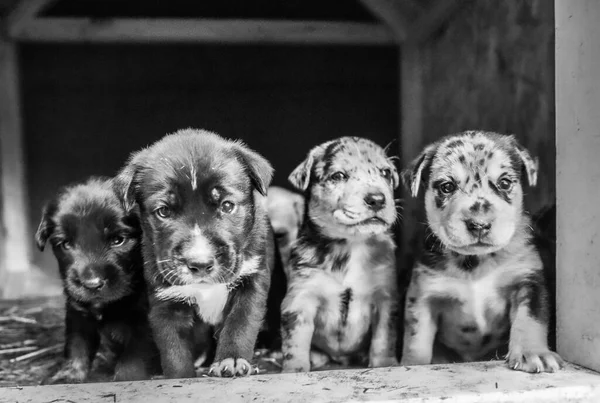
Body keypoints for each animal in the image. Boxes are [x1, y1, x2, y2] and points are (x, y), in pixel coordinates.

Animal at [35, 178, 159, 386]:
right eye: (66, 244)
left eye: (118, 240)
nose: (92, 284)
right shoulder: (78, 314)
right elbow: (76, 347)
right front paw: (69, 376)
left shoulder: (145, 320)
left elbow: (133, 358)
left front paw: (125, 379)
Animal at [114, 129, 276, 378]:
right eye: (163, 211)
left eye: (227, 206)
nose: (199, 263)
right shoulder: (166, 299)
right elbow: (173, 349)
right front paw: (181, 377)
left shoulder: (252, 279)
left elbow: (240, 323)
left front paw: (232, 361)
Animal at [280, 137, 400, 374]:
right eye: (338, 176)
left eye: (386, 173)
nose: (377, 199)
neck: (351, 245)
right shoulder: (301, 297)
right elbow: (296, 340)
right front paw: (295, 369)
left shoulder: (385, 297)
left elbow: (384, 336)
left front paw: (384, 364)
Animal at [400, 131, 564, 374]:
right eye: (447, 186)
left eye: (504, 183)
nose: (479, 224)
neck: (475, 262)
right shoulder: (423, 297)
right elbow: (416, 341)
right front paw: (411, 365)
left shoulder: (528, 282)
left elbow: (530, 319)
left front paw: (534, 353)